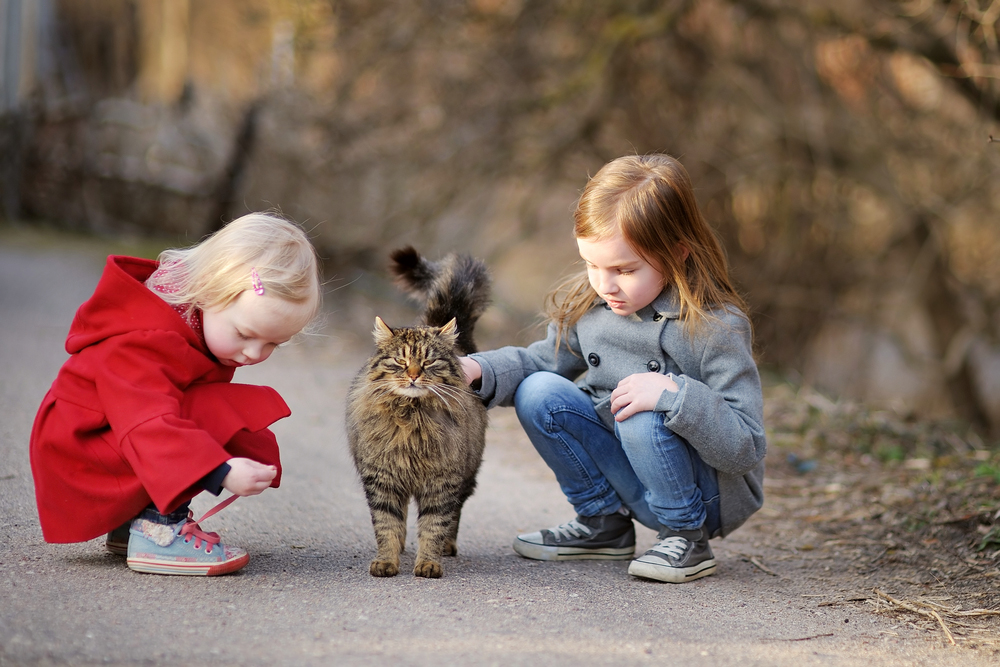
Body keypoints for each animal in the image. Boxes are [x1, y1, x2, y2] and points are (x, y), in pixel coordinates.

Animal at [348, 248, 492, 576]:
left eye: (428, 362)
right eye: (401, 362)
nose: (413, 375)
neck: (411, 418)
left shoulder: (443, 482)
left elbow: (433, 526)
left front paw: (428, 562)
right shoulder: (382, 479)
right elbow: (387, 525)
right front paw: (387, 561)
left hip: (467, 474)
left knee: (455, 515)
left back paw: (447, 547)